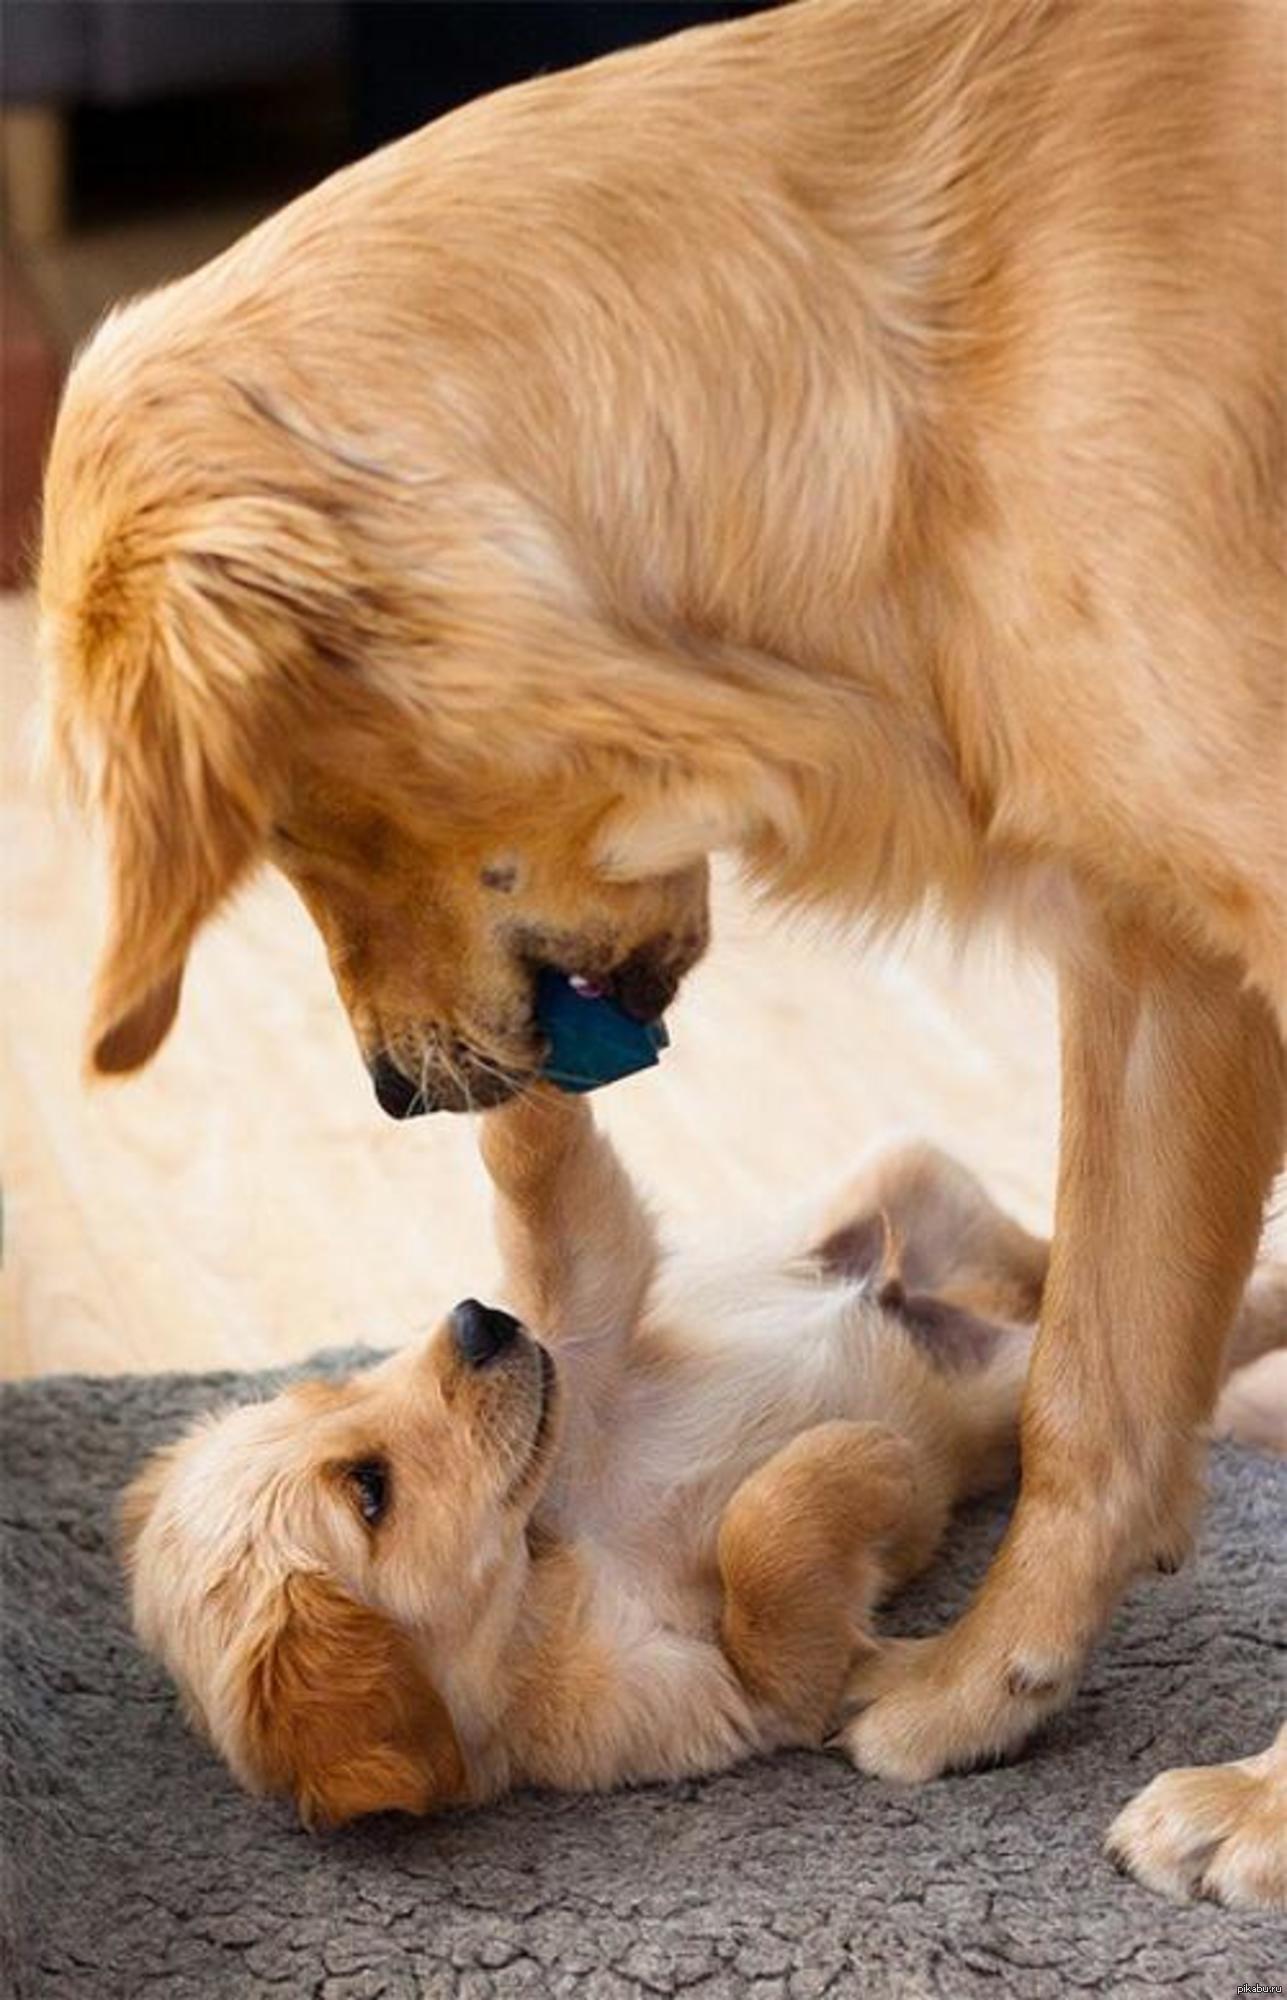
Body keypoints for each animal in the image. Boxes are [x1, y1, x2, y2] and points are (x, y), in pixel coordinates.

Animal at [120, 1112, 1047, 1832]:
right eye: (370, 1490)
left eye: (329, 1390)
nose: (478, 1320)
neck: (548, 1545)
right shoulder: (725, 1696)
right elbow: (762, 1553)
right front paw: (868, 1455)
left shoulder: (577, 1342)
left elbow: (549, 1190)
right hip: (1011, 1381)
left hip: (907, 1171)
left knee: (1035, 1248)